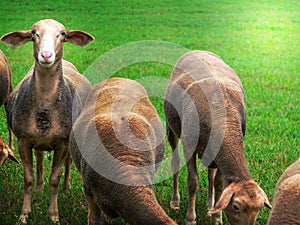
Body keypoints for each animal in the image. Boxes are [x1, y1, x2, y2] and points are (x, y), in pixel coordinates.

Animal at [0, 18, 94, 223]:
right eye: (33, 33)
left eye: (63, 34)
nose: (46, 55)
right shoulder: (23, 141)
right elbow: (27, 180)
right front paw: (24, 215)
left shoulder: (62, 142)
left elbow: (54, 180)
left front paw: (54, 216)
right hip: (38, 141)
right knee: (40, 157)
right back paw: (39, 186)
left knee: (68, 163)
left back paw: (66, 188)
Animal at [164, 51, 272, 225]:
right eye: (236, 207)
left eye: (260, 208)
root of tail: (197, 51)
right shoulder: (189, 146)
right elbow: (193, 182)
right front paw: (190, 218)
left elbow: (219, 184)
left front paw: (217, 218)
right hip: (171, 127)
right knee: (175, 161)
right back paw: (175, 201)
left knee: (210, 174)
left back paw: (210, 206)